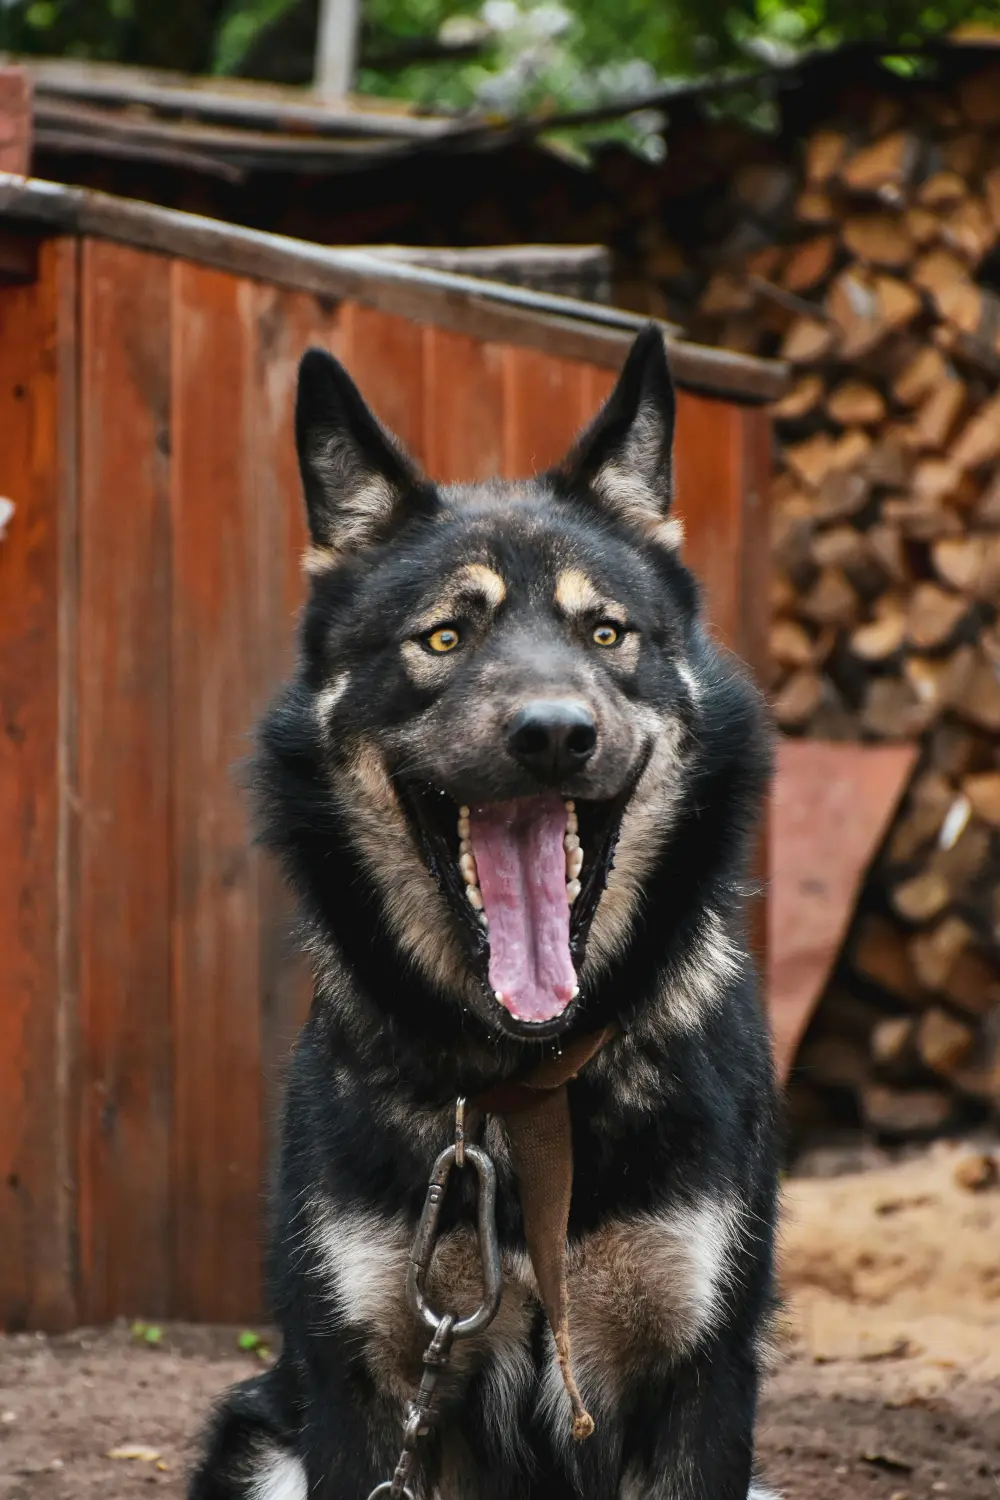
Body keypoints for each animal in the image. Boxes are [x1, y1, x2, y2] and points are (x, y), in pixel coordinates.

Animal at [187, 325, 779, 1500]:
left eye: (607, 633)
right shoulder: (367, 1387)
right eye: (444, 640)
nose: (553, 734)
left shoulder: (702, 1381)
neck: (526, 1081)